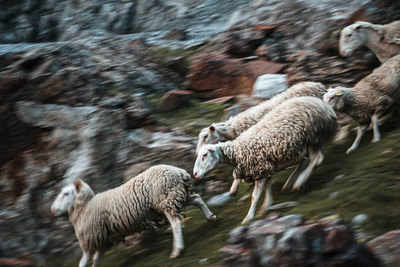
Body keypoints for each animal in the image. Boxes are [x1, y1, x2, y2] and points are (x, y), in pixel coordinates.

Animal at [52, 164, 219, 266]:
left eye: (66, 194)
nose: (52, 210)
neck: (86, 206)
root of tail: (178, 172)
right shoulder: (102, 240)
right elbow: (96, 260)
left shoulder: (91, 239)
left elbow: (83, 262)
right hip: (176, 195)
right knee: (197, 198)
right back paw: (210, 217)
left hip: (166, 200)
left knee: (176, 223)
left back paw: (177, 250)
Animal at [192, 97, 336, 225]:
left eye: (204, 155)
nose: (195, 174)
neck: (237, 152)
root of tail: (322, 104)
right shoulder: (265, 168)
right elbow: (268, 187)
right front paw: (266, 205)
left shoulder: (259, 168)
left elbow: (254, 196)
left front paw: (248, 218)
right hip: (301, 146)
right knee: (306, 161)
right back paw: (291, 183)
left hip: (313, 137)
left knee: (316, 159)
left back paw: (298, 182)